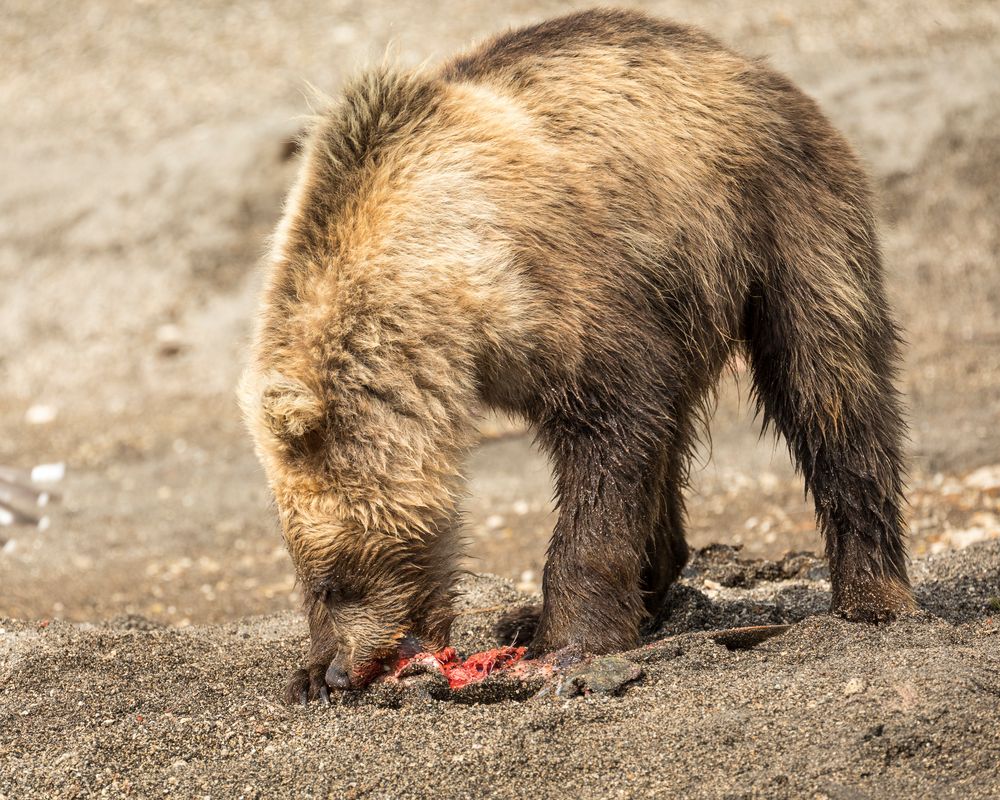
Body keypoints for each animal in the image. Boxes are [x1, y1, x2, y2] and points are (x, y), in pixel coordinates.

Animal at [240, 9, 916, 704]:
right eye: (311, 581)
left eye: (338, 578)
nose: (343, 672)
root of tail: (753, 66)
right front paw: (307, 674)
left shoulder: (561, 295)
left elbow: (609, 437)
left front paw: (568, 639)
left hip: (783, 219)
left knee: (829, 385)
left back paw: (872, 598)